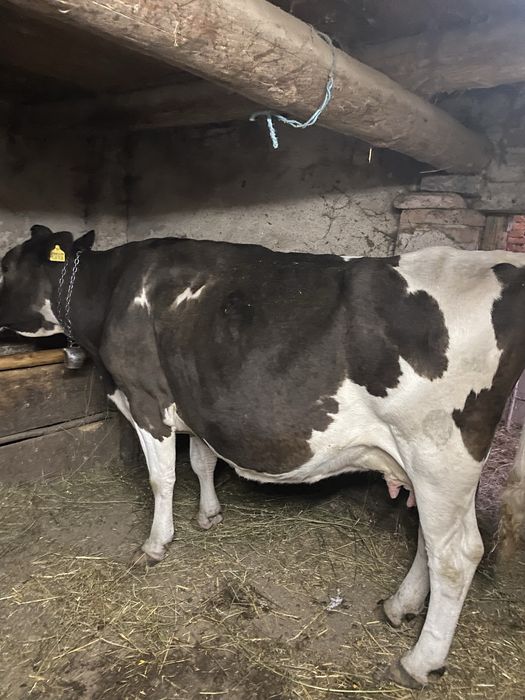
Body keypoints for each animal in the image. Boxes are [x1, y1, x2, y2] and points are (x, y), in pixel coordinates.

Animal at [0, 223, 524, 689]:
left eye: (5, 264)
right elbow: (202, 462)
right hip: (435, 467)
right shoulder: (198, 401)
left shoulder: (146, 399)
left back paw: (418, 662)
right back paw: (400, 606)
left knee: (455, 555)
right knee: (428, 540)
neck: (111, 291)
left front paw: (155, 544)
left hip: (438, 452)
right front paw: (209, 514)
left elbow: (161, 479)